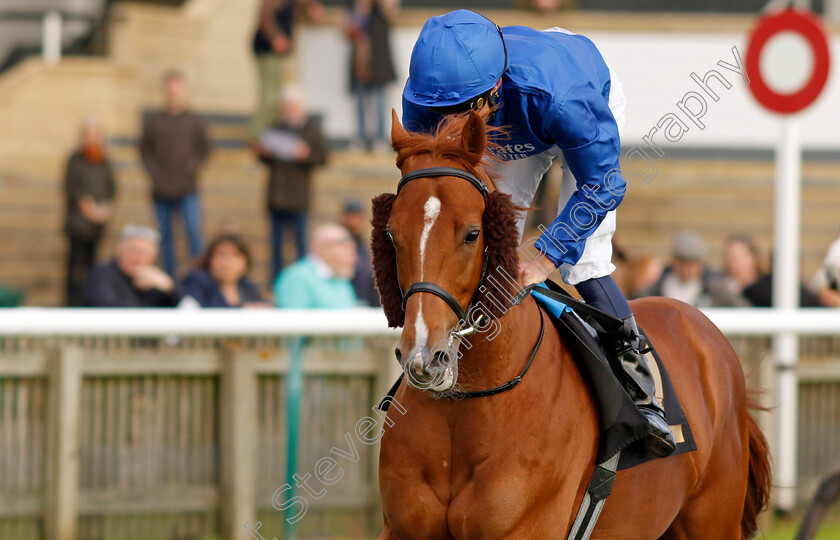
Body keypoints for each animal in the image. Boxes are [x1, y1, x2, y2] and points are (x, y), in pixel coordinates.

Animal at [370, 110, 772, 540]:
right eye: (391, 234)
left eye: (472, 234)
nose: (424, 357)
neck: (463, 406)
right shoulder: (401, 530)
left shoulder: (525, 529)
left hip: (713, 517)